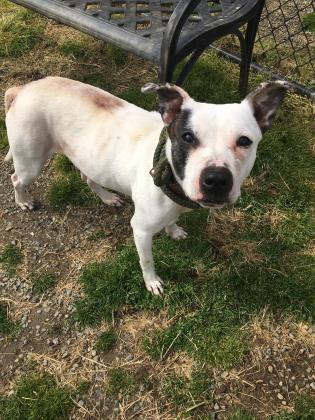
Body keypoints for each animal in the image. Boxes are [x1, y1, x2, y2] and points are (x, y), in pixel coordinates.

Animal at [4, 78, 288, 296]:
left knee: (88, 178)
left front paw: (174, 231)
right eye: (187, 137)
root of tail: (22, 89)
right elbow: (146, 259)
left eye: (244, 141)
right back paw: (23, 201)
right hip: (30, 161)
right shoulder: (140, 230)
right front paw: (152, 282)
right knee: (16, 179)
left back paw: (108, 198)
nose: (217, 179)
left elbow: (172, 222)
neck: (171, 179)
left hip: (88, 157)